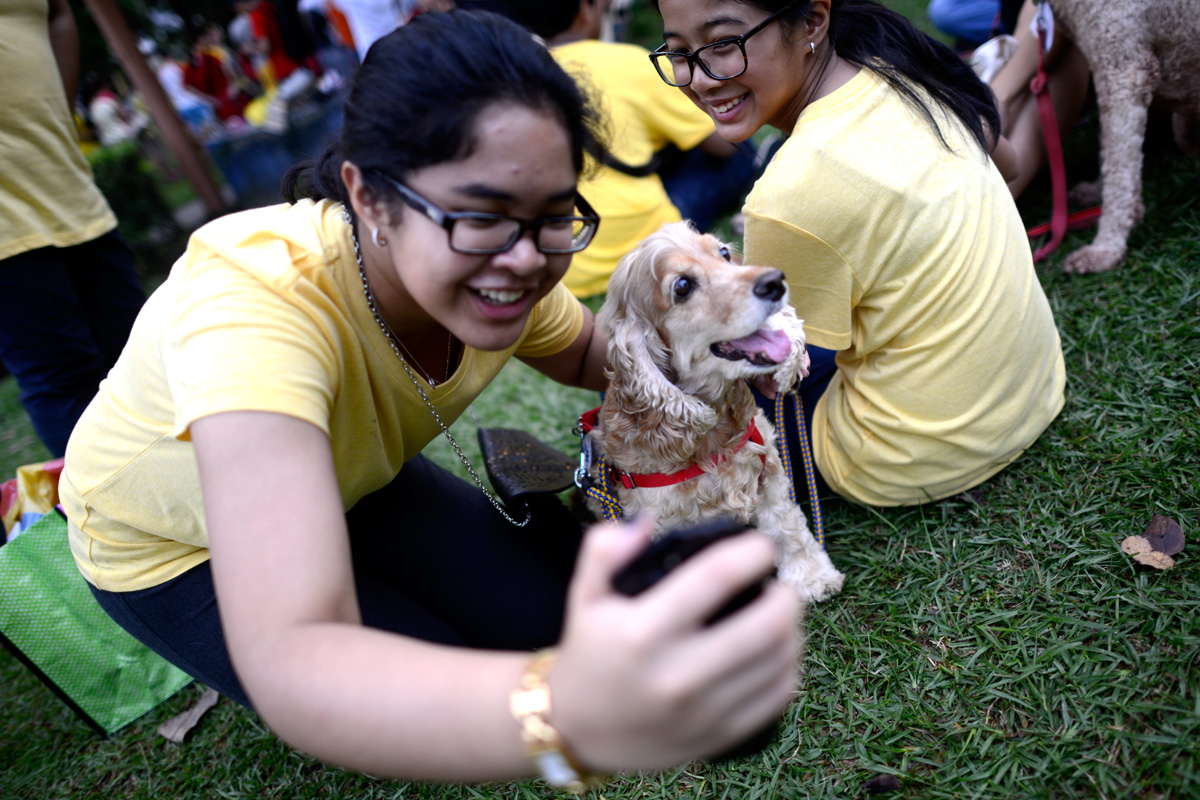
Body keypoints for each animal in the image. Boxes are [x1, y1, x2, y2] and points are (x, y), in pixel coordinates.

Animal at [583, 221, 844, 604]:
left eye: (723, 253)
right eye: (682, 286)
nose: (775, 280)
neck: (714, 434)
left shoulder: (769, 469)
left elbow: (786, 526)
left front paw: (812, 577)